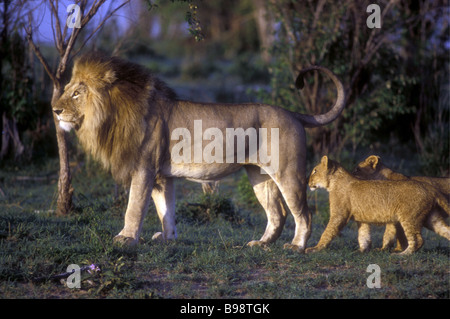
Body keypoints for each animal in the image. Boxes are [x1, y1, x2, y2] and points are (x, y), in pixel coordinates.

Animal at [54, 53, 346, 252]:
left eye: (77, 93)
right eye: (66, 90)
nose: (55, 110)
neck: (113, 115)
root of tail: (293, 114)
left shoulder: (144, 168)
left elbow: (134, 207)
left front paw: (126, 238)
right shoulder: (161, 176)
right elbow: (165, 209)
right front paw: (167, 238)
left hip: (287, 172)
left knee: (304, 213)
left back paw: (296, 246)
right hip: (259, 175)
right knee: (277, 213)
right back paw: (261, 244)